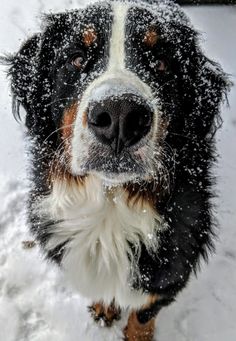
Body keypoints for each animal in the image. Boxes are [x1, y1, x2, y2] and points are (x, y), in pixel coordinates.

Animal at [3, 0, 230, 338]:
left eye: (161, 63)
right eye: (77, 58)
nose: (120, 115)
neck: (110, 208)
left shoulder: (171, 272)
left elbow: (144, 313)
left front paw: (138, 335)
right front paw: (104, 308)